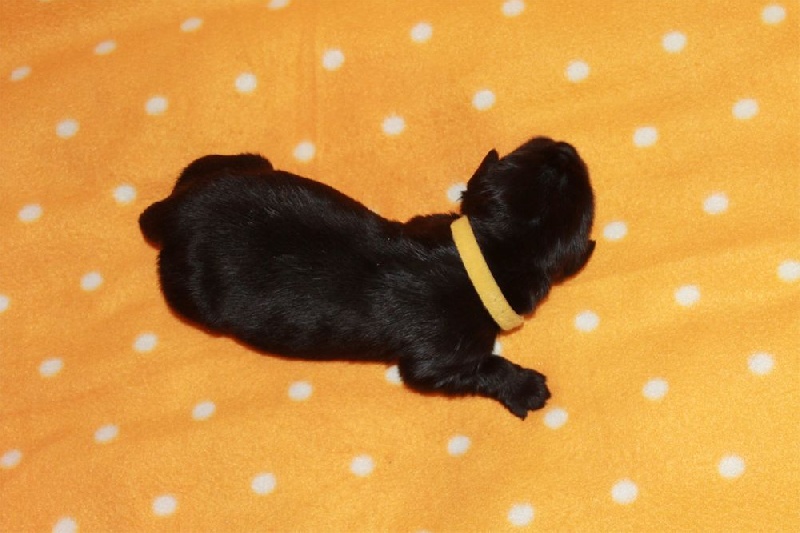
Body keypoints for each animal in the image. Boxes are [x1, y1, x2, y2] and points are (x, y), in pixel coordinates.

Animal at [139, 137, 595, 419]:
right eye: (585, 195)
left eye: (524, 156)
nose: (564, 149)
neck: (486, 254)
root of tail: (172, 214)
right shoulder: (435, 357)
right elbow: (479, 367)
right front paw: (525, 387)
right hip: (188, 293)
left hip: (239, 171)